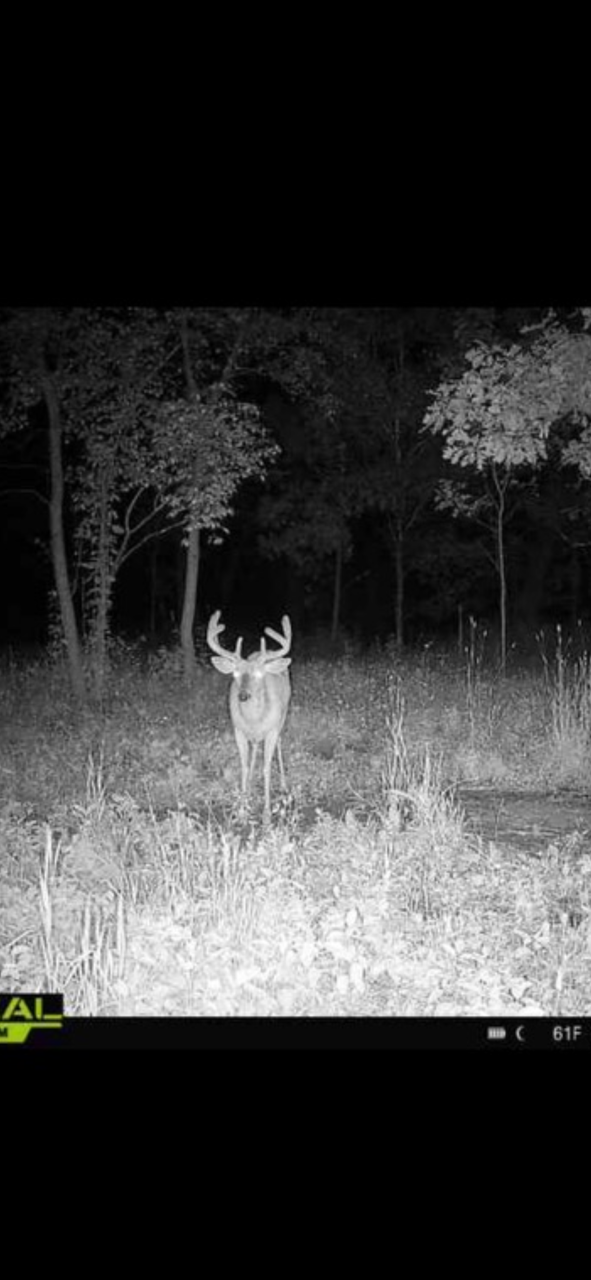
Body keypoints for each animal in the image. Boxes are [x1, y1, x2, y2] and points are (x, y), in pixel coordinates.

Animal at [206, 610, 292, 821]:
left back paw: (284, 787)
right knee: (254, 747)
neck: (254, 720)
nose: (243, 696)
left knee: (279, 743)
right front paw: (242, 807)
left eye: (259, 675)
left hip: (283, 714)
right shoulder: (238, 728)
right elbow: (244, 764)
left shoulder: (271, 729)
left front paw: (267, 813)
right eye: (235, 675)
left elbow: (266, 766)